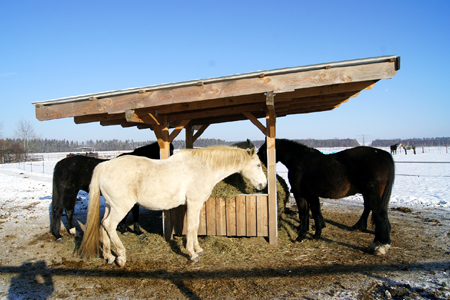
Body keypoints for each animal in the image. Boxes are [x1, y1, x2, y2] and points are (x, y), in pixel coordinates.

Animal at [77, 146, 268, 266]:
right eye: (258, 165)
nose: (264, 184)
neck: (202, 167)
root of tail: (104, 165)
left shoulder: (196, 205)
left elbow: (195, 226)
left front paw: (199, 249)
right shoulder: (194, 203)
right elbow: (191, 227)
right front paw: (192, 254)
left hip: (111, 206)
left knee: (103, 225)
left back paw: (109, 256)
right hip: (120, 208)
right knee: (109, 225)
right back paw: (121, 257)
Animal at [258, 139, 396, 255]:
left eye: (262, 150)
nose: (259, 164)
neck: (299, 159)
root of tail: (383, 154)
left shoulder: (301, 195)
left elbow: (304, 215)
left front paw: (300, 236)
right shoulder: (312, 195)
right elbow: (316, 213)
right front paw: (316, 235)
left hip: (372, 195)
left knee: (381, 216)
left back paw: (382, 246)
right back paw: (376, 243)